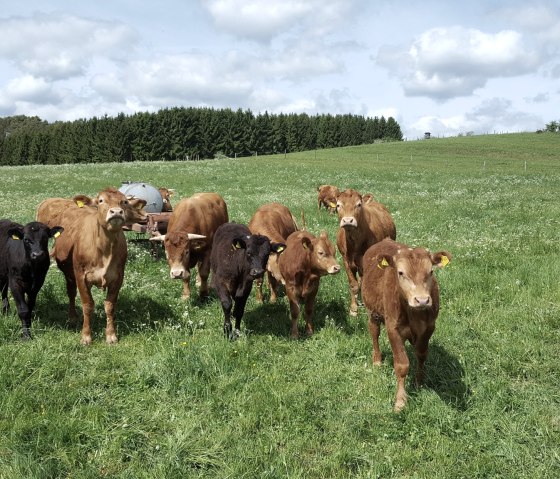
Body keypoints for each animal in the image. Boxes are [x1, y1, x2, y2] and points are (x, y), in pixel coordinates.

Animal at [364, 240, 450, 412]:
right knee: (374, 333)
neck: (414, 314)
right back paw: (377, 360)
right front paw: (400, 401)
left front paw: (419, 382)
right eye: (401, 273)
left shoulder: (429, 328)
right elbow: (402, 365)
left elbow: (422, 355)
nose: (422, 300)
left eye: (431, 271)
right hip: (373, 312)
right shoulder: (393, 329)